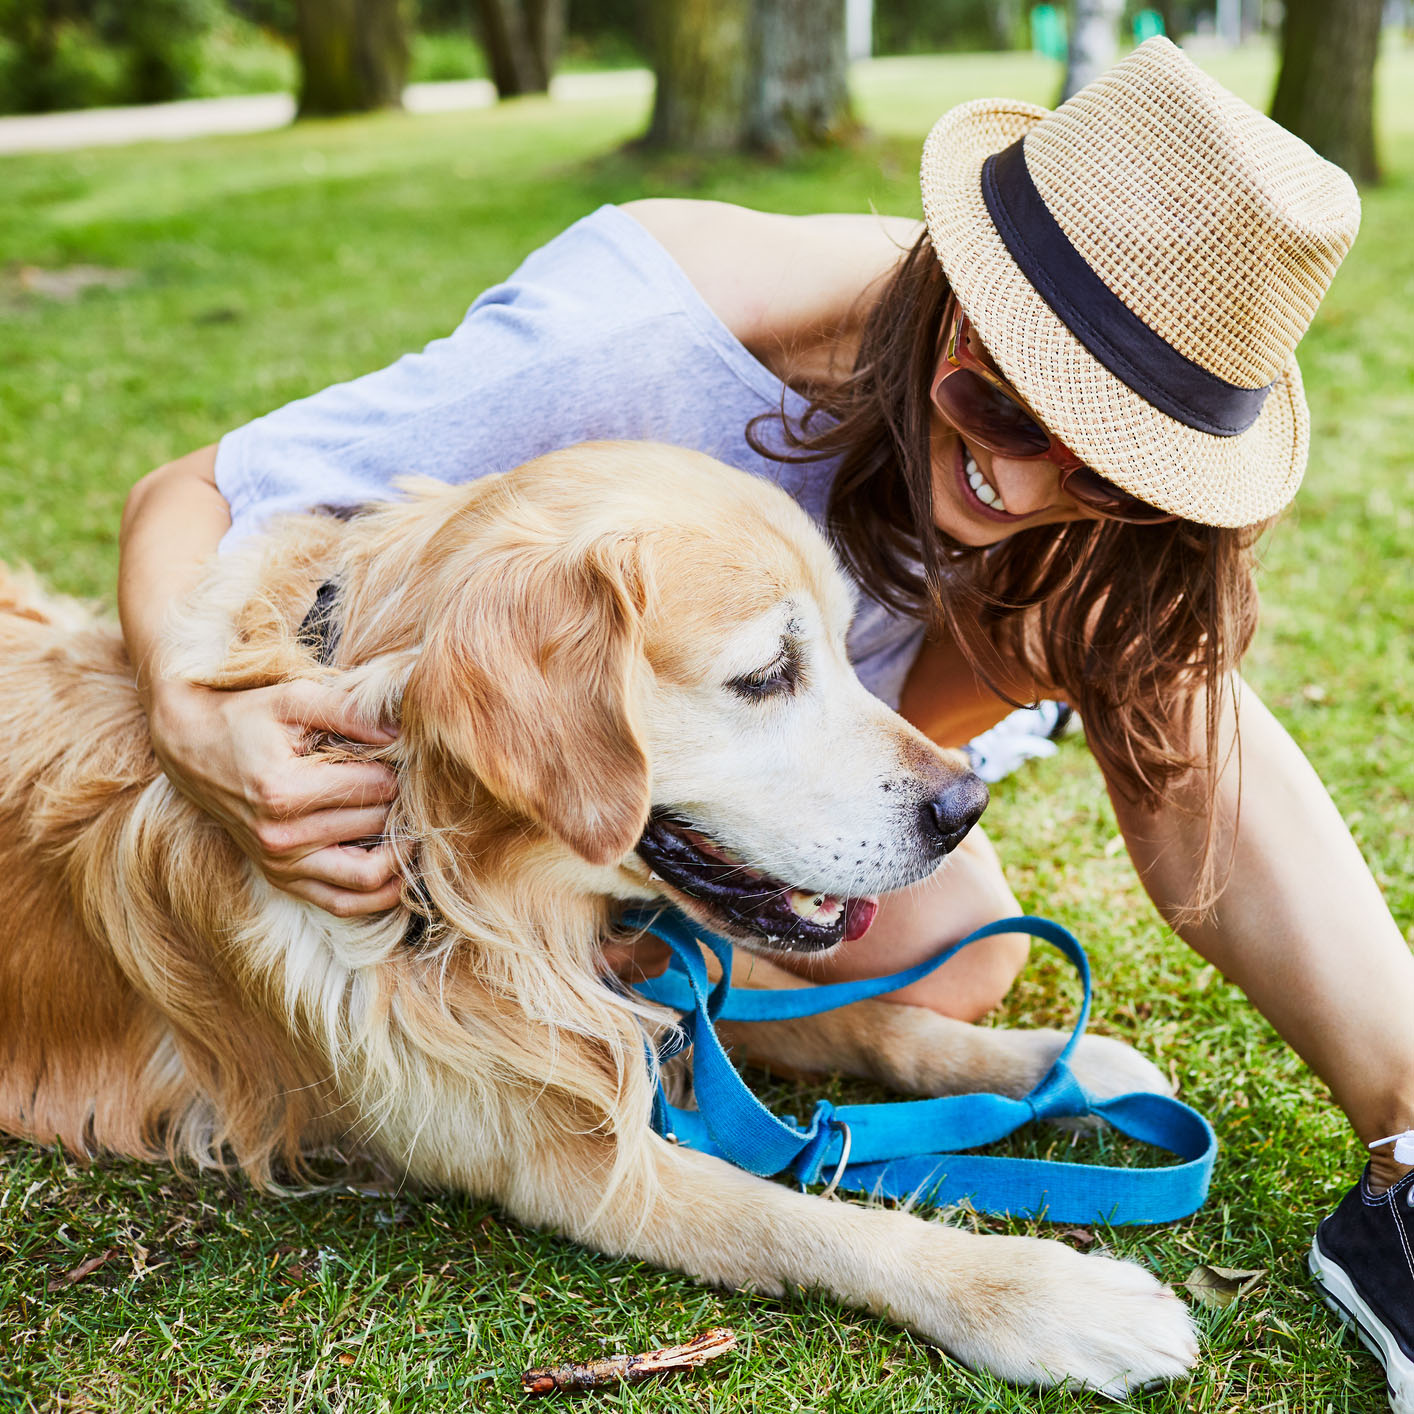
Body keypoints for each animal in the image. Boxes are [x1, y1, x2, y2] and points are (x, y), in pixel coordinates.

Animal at [0, 441, 1193, 1391]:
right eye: (767, 672)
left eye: (849, 646)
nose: (962, 806)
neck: (460, 880)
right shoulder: (565, 1168)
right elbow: (810, 1219)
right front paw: (1053, 1299)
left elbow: (873, 1018)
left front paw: (1059, 1067)